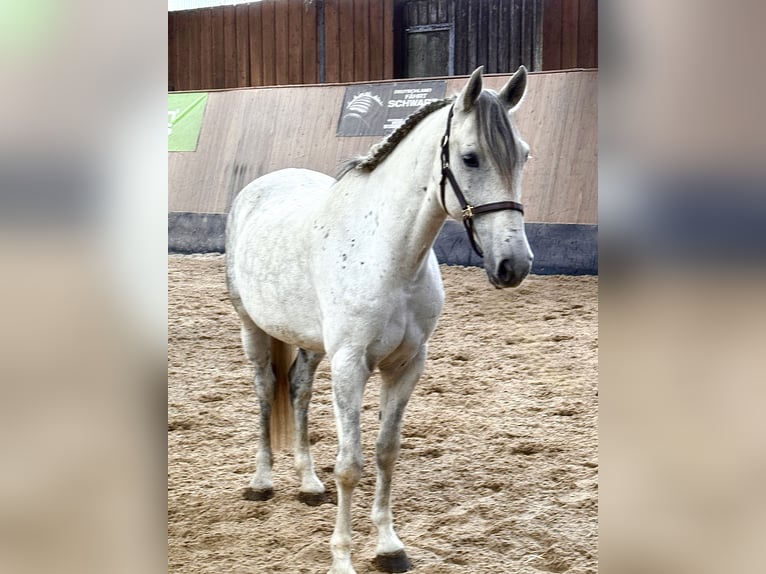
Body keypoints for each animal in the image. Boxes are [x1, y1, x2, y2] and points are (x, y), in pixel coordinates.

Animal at [225, 66, 533, 574]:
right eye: (470, 158)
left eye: (524, 156)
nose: (514, 265)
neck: (390, 256)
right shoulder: (351, 365)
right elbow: (350, 464)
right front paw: (343, 559)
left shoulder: (406, 365)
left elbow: (387, 453)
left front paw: (389, 547)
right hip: (252, 327)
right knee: (267, 391)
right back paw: (262, 481)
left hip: (311, 344)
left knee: (298, 390)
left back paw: (308, 484)